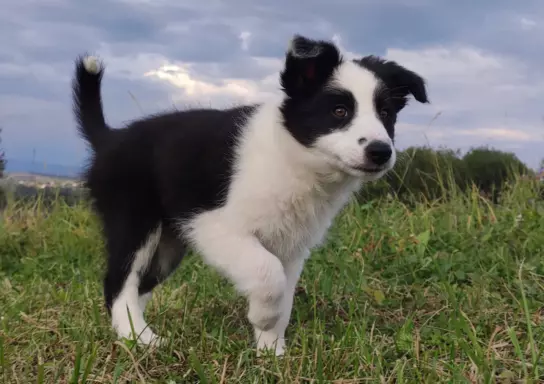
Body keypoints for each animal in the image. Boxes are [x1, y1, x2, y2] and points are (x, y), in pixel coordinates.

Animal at [72, 34, 430, 356]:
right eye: (340, 111)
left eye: (386, 114)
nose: (381, 151)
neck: (292, 158)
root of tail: (109, 139)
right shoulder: (215, 225)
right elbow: (267, 274)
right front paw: (263, 318)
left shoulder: (291, 248)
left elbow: (285, 293)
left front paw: (271, 350)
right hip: (134, 220)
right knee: (118, 284)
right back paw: (138, 337)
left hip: (168, 244)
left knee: (140, 285)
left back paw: (140, 329)